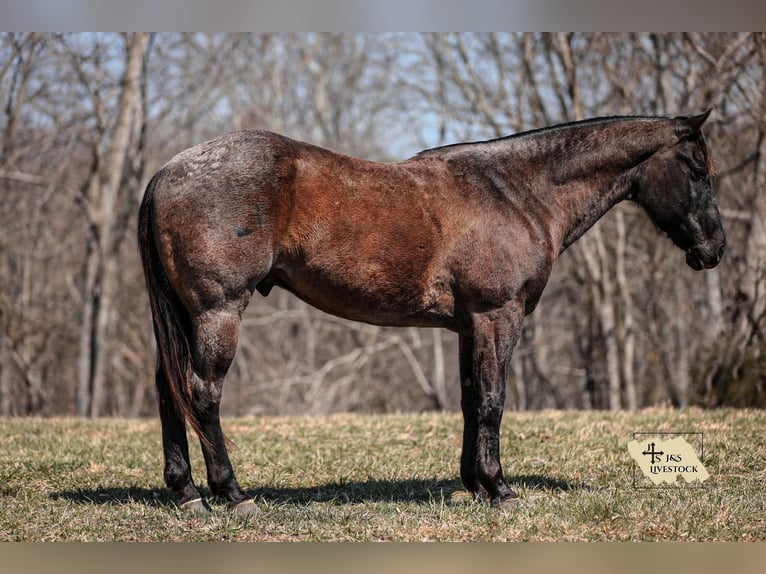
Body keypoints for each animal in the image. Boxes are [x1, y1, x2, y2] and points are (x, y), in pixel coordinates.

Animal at [138, 111, 725, 514]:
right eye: (697, 169)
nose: (714, 250)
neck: (518, 193)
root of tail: (166, 172)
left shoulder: (469, 327)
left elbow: (470, 400)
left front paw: (474, 484)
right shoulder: (498, 316)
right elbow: (492, 401)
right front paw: (500, 489)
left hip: (188, 317)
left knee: (169, 387)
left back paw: (187, 492)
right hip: (218, 312)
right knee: (202, 393)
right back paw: (233, 494)